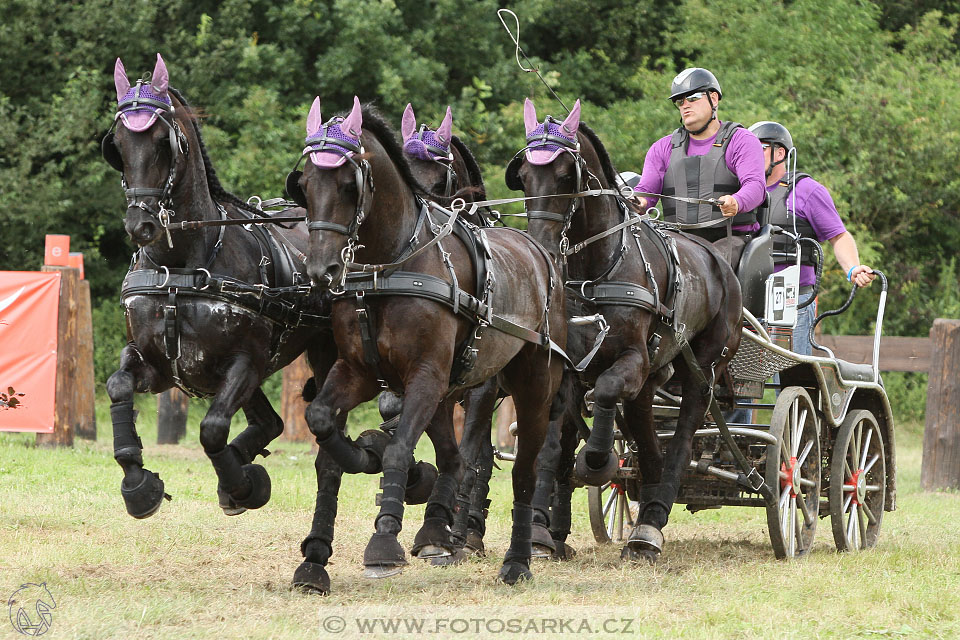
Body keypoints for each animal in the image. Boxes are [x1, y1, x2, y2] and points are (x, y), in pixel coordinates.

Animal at [101, 55, 334, 520]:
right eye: (117, 144)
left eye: (163, 142)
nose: (141, 225)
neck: (181, 266)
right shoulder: (158, 365)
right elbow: (118, 385)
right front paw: (137, 483)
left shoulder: (244, 363)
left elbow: (211, 429)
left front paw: (241, 486)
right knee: (271, 422)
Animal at [284, 97, 568, 592]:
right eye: (305, 184)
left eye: (347, 183)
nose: (320, 270)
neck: (387, 268)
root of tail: (540, 253)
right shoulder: (360, 372)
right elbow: (321, 424)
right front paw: (357, 459)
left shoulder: (427, 377)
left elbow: (401, 450)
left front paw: (383, 543)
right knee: (455, 459)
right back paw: (441, 532)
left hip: (530, 386)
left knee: (523, 472)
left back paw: (518, 559)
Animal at [510, 99, 744, 560]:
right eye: (524, 175)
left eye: (565, 175)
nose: (542, 247)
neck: (596, 269)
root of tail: (719, 260)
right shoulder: (569, 368)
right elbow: (552, 445)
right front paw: (542, 531)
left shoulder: (630, 359)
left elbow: (602, 393)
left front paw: (596, 461)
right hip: (653, 377)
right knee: (649, 444)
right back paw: (648, 513)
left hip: (701, 370)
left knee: (683, 438)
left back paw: (650, 526)